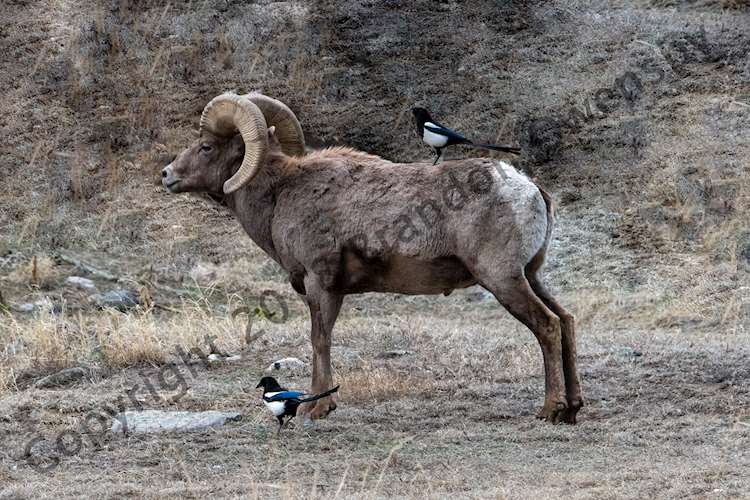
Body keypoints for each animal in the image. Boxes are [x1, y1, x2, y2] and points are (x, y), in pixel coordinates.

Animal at [163, 93, 588, 422]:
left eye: (206, 147)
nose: (167, 175)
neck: (281, 194)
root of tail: (529, 188)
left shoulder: (320, 283)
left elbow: (319, 340)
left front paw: (318, 408)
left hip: (503, 279)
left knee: (548, 326)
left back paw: (550, 410)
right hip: (530, 275)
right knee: (566, 321)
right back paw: (572, 409)